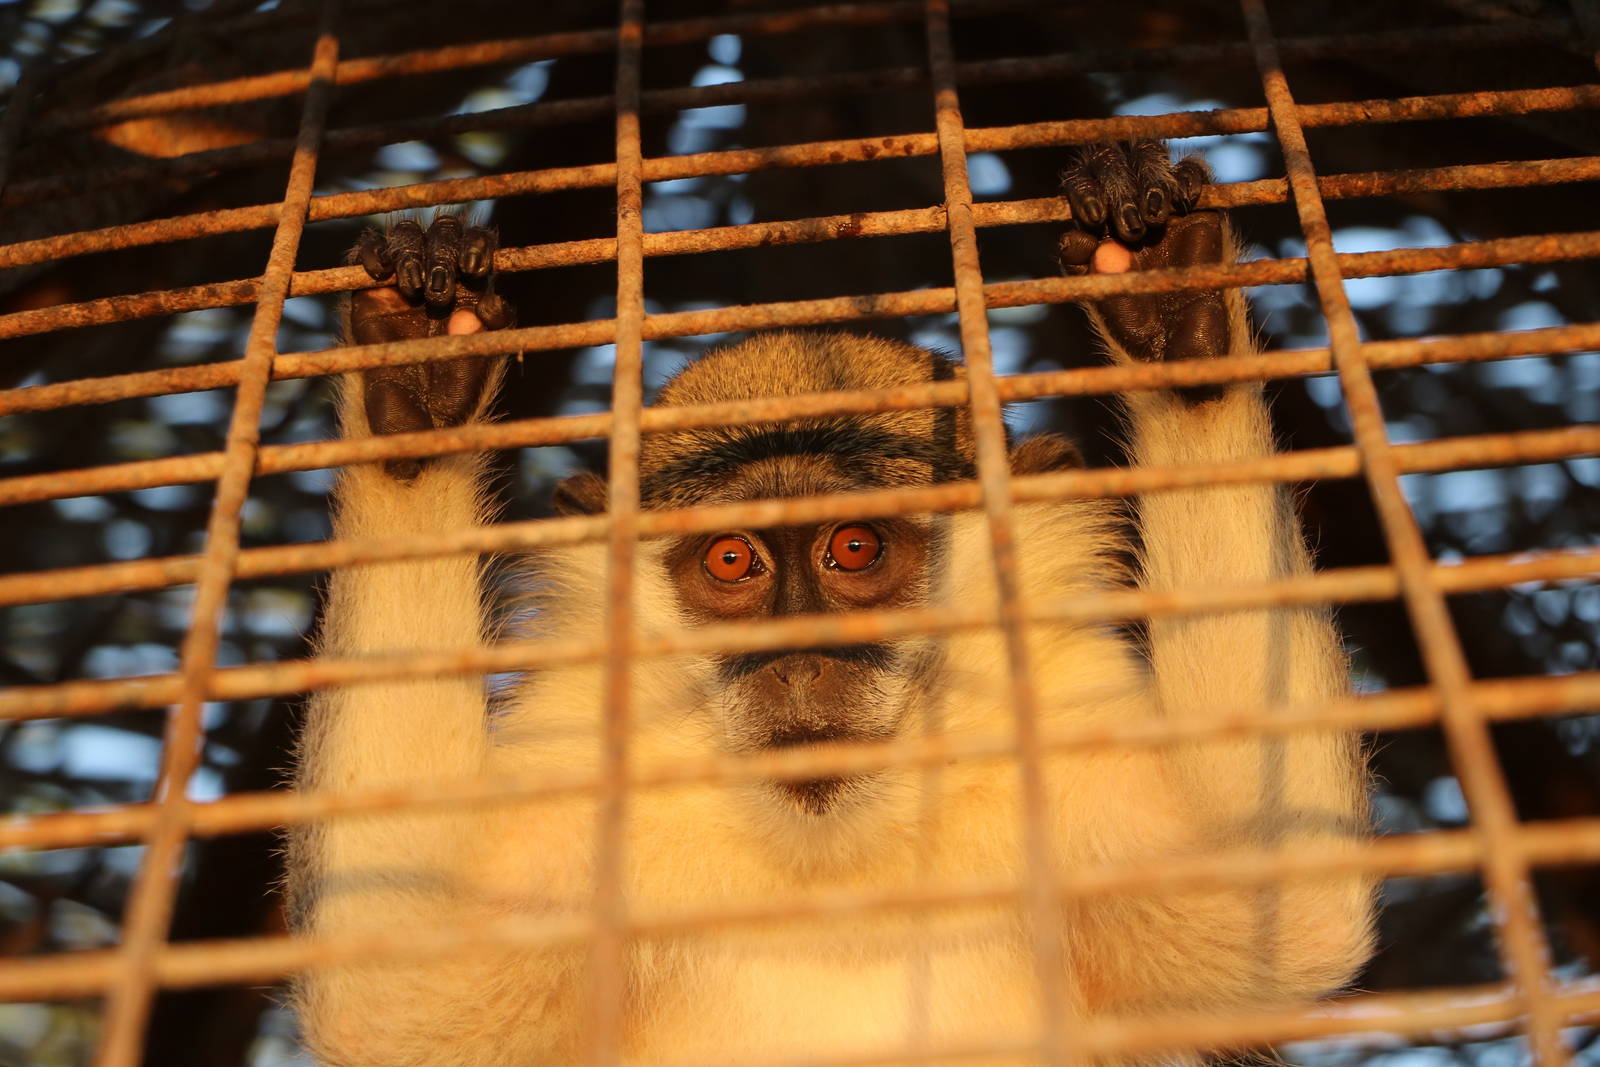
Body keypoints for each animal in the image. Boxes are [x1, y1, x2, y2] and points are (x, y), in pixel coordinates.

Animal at [288, 141, 1375, 1067]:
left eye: (854, 547)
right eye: (734, 560)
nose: (800, 656)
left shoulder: (1065, 720)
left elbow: (1283, 898)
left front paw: (1172, 312)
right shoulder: (583, 758)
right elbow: (399, 991)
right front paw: (415, 382)